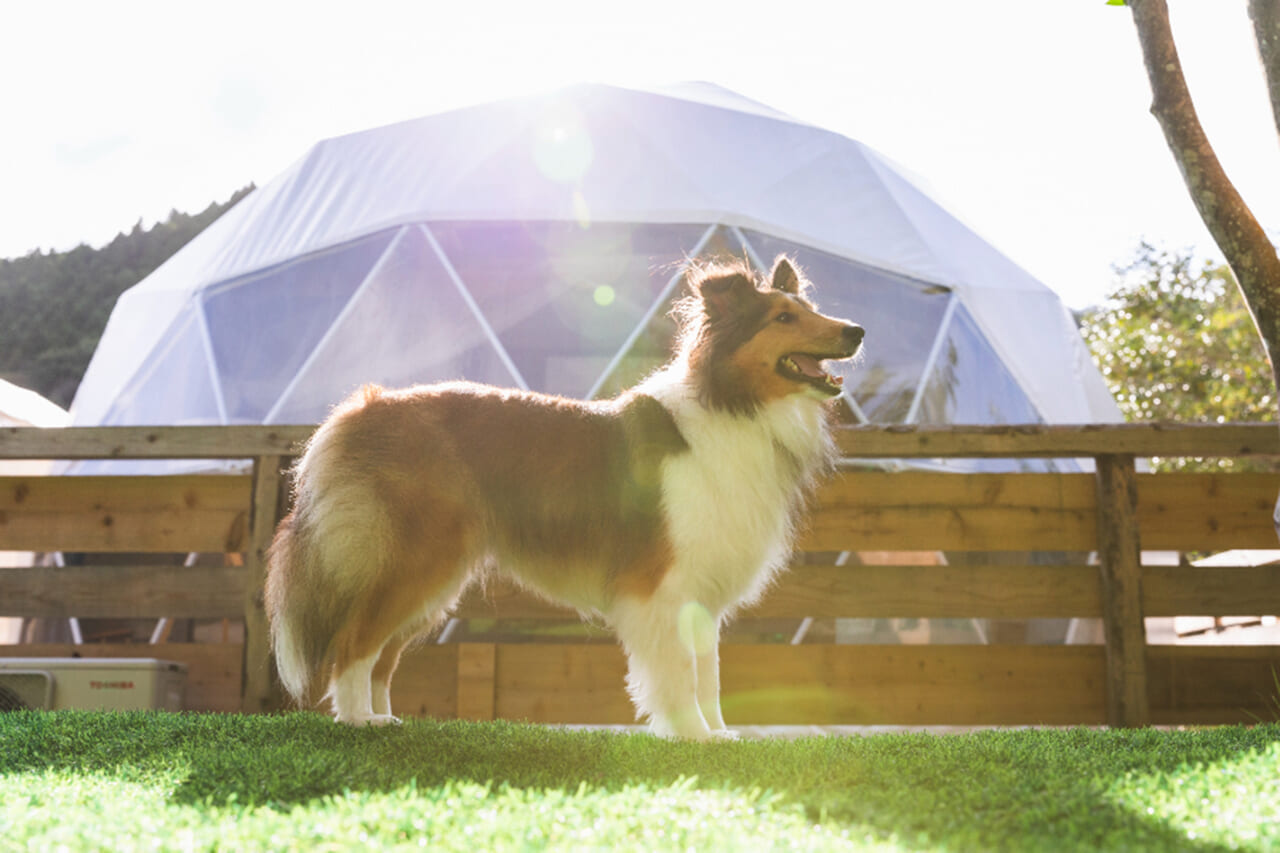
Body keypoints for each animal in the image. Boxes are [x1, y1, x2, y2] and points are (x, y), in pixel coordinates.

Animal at [262, 253, 860, 737]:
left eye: (807, 308)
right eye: (782, 318)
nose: (856, 330)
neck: (734, 406)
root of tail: (361, 408)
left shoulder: (702, 593)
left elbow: (709, 674)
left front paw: (720, 736)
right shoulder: (662, 587)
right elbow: (681, 673)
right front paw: (693, 736)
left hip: (433, 576)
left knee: (382, 655)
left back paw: (383, 717)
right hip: (414, 560)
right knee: (353, 643)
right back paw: (357, 721)